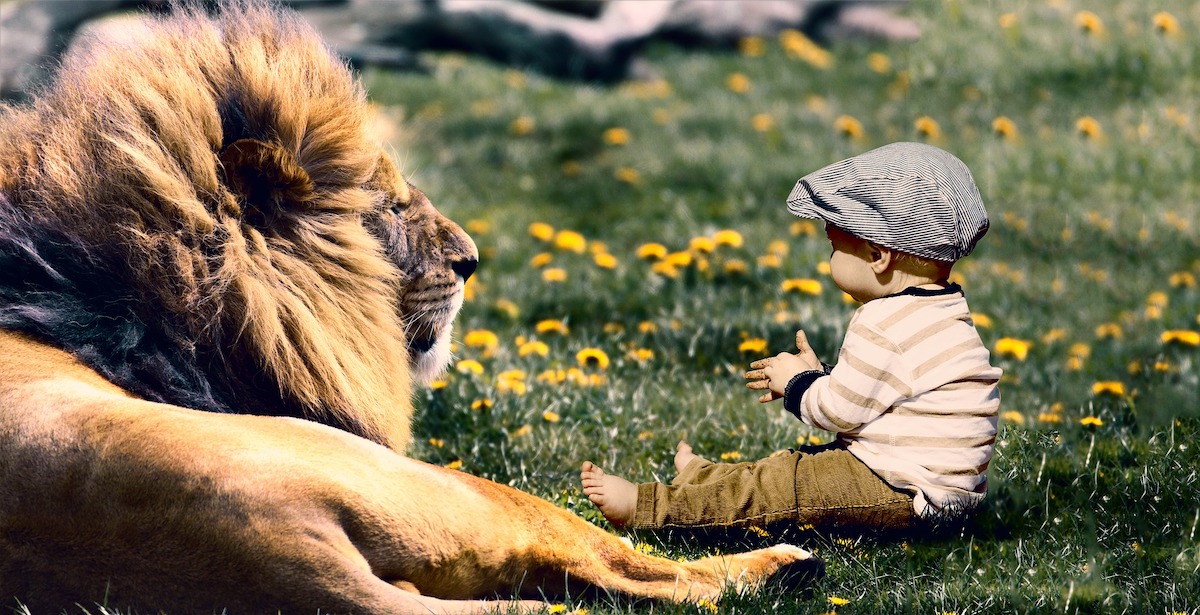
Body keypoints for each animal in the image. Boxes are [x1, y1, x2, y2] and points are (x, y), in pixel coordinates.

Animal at [0, 2, 816, 612]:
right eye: (389, 206)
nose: (472, 260)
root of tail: (289, 561)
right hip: (446, 487)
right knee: (636, 566)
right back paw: (784, 561)